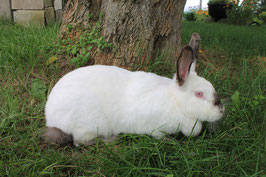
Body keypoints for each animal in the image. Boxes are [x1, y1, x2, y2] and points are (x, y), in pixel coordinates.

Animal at [44, 32, 224, 146]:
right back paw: (111, 139)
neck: (176, 102)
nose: (221, 111)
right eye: (199, 94)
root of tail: (50, 117)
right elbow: (159, 136)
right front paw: (170, 141)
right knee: (79, 142)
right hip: (89, 126)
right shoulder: (154, 127)